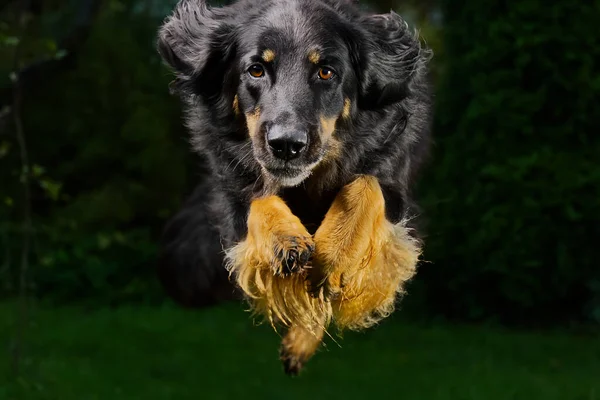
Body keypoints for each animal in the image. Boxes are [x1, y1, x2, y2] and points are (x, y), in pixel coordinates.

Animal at [157, 0, 434, 376]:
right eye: (256, 70)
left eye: (326, 72)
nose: (286, 145)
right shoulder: (232, 190)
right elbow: (256, 197)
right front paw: (283, 239)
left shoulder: (394, 189)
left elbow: (365, 185)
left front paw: (335, 253)